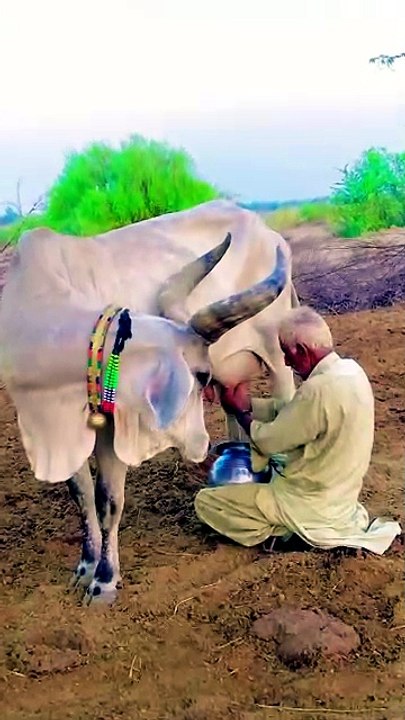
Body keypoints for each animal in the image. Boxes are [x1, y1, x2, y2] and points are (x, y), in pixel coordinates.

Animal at [0, 200, 298, 604]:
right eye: (199, 375)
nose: (199, 443)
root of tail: (266, 230)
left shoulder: (111, 426)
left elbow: (107, 500)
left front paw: (104, 582)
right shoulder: (51, 424)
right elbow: (81, 494)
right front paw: (85, 566)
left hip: (277, 354)